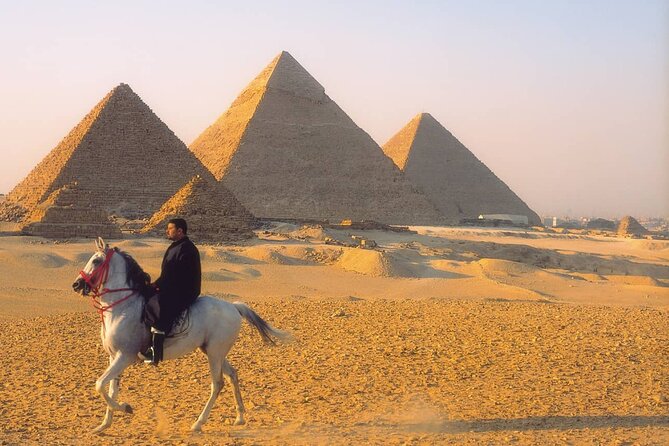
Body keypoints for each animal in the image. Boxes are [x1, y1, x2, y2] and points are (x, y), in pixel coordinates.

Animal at [72, 237, 290, 434]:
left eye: (96, 261)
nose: (76, 285)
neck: (123, 306)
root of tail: (234, 307)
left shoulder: (125, 356)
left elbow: (100, 384)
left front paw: (126, 408)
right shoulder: (114, 356)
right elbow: (110, 388)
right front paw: (104, 425)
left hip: (215, 353)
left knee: (217, 383)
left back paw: (198, 424)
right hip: (213, 351)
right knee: (232, 375)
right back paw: (240, 417)